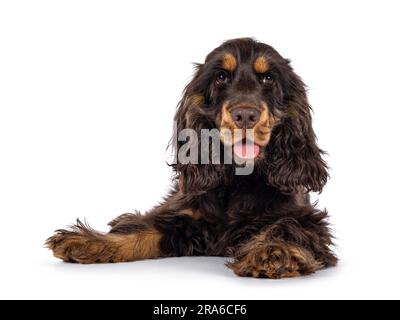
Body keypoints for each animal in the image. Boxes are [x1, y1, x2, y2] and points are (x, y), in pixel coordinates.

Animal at [45, 37, 336, 278]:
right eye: (221, 76)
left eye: (268, 78)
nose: (245, 115)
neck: (238, 178)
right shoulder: (184, 216)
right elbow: (142, 229)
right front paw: (89, 242)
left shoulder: (304, 219)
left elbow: (286, 227)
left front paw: (273, 252)